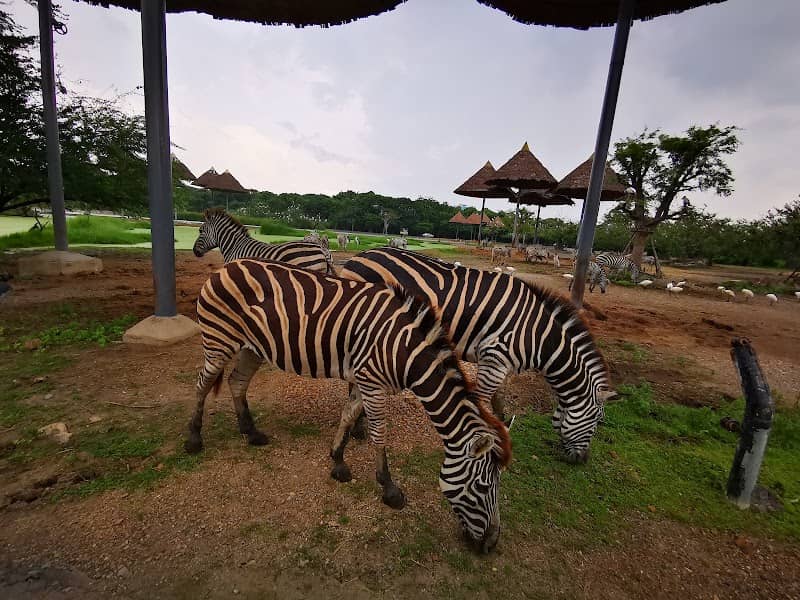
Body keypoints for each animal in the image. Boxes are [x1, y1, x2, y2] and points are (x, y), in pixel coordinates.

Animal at [189, 259, 511, 551]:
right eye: (483, 486)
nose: (492, 544)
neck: (404, 351)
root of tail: (226, 266)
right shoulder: (371, 381)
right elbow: (378, 433)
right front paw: (389, 488)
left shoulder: (363, 380)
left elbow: (348, 414)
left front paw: (338, 461)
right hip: (219, 341)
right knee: (203, 384)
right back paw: (194, 438)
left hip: (251, 347)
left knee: (237, 382)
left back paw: (250, 432)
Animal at [341, 248, 616, 464]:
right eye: (598, 421)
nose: (582, 461)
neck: (538, 335)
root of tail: (357, 257)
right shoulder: (496, 357)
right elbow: (483, 399)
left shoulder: (497, 360)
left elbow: (497, 399)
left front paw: (501, 424)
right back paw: (359, 426)